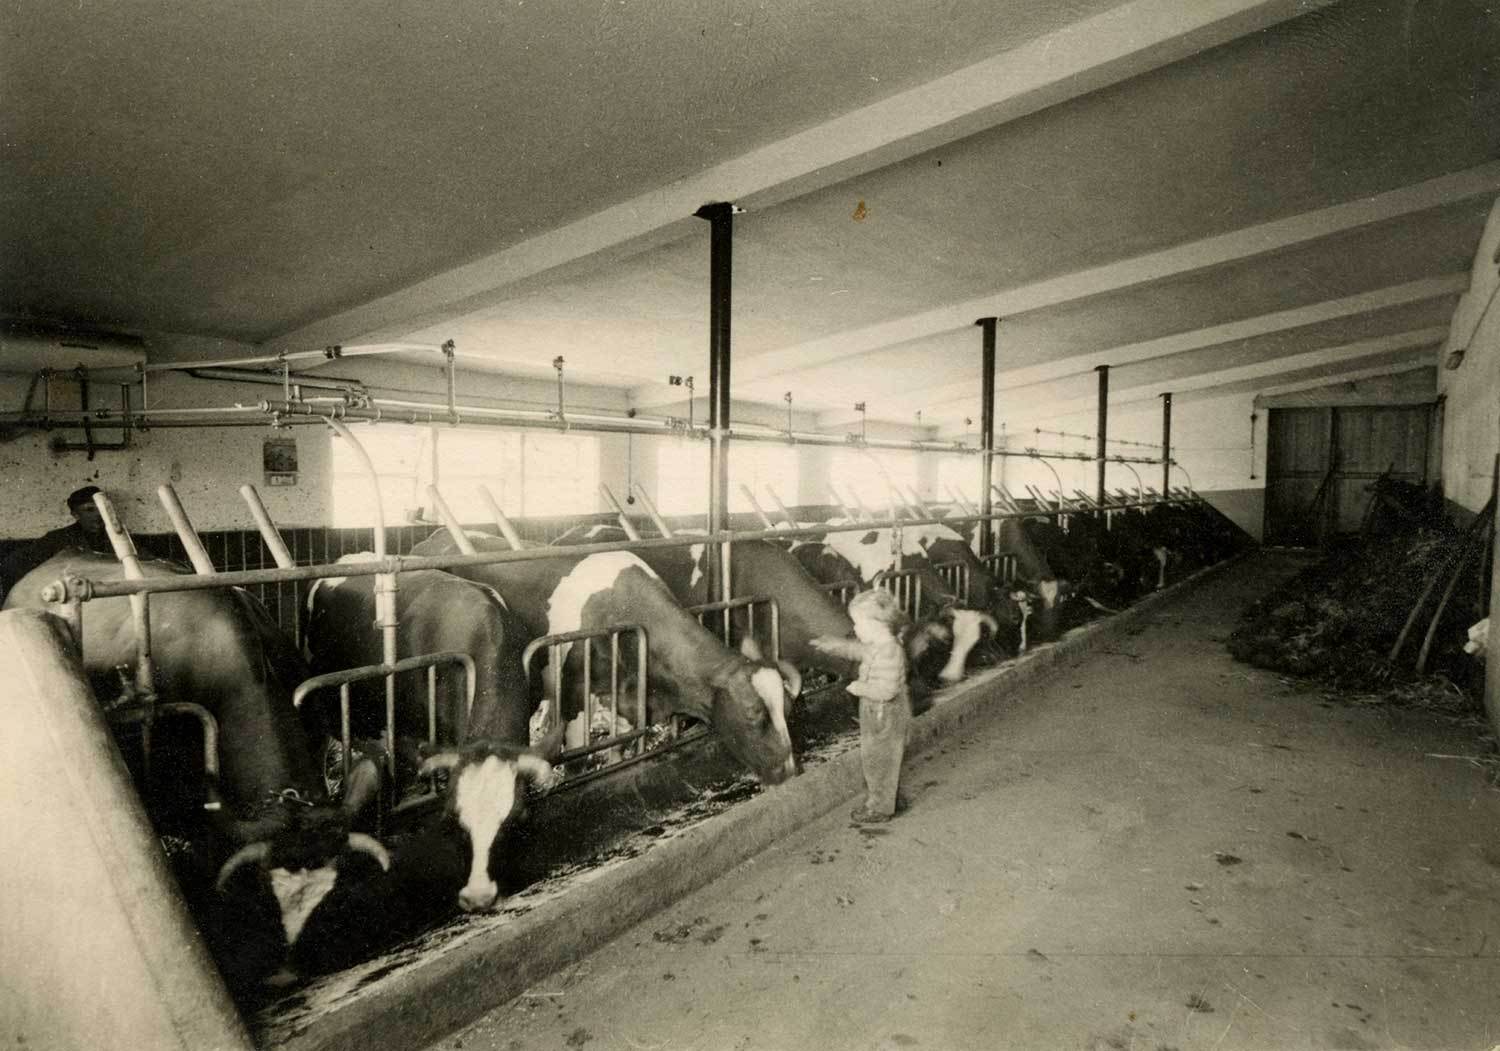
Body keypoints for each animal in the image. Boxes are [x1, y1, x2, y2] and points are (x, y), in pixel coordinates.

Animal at [410, 530, 800, 786]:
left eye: (787, 708)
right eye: (754, 714)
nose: (789, 770)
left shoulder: (628, 696)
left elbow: (620, 745)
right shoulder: (574, 693)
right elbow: (576, 755)